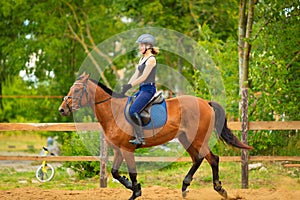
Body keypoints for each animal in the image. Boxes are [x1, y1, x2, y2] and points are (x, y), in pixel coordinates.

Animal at [58, 72, 253, 200]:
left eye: (77, 91)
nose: (62, 110)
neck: (114, 113)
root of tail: (205, 102)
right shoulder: (118, 150)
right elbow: (115, 172)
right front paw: (132, 186)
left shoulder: (127, 149)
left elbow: (132, 172)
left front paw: (136, 192)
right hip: (186, 139)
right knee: (198, 159)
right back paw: (185, 187)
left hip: (197, 138)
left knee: (213, 159)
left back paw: (219, 189)